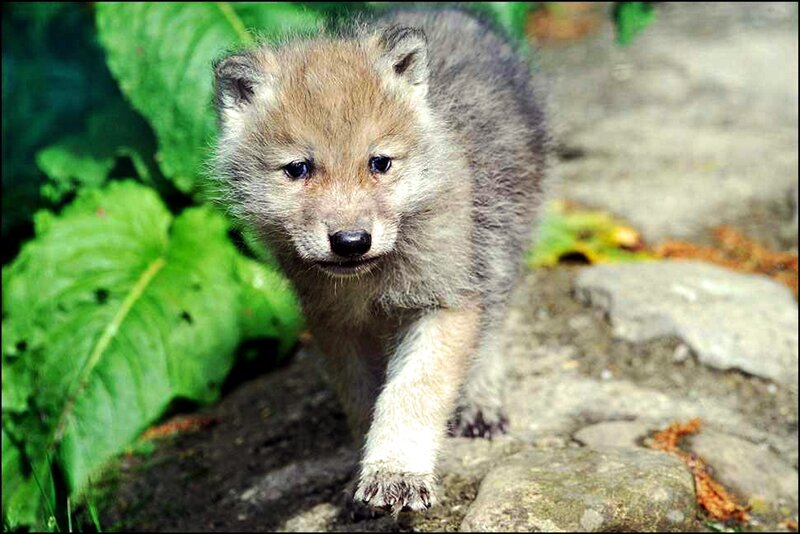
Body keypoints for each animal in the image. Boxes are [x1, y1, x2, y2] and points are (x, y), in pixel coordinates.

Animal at [212, 7, 548, 515]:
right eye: (298, 169)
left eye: (380, 163)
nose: (351, 241)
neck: (371, 280)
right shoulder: (337, 326)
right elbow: (363, 402)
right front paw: (363, 478)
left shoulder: (444, 302)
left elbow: (412, 392)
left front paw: (397, 473)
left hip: (498, 249)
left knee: (491, 327)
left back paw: (481, 401)